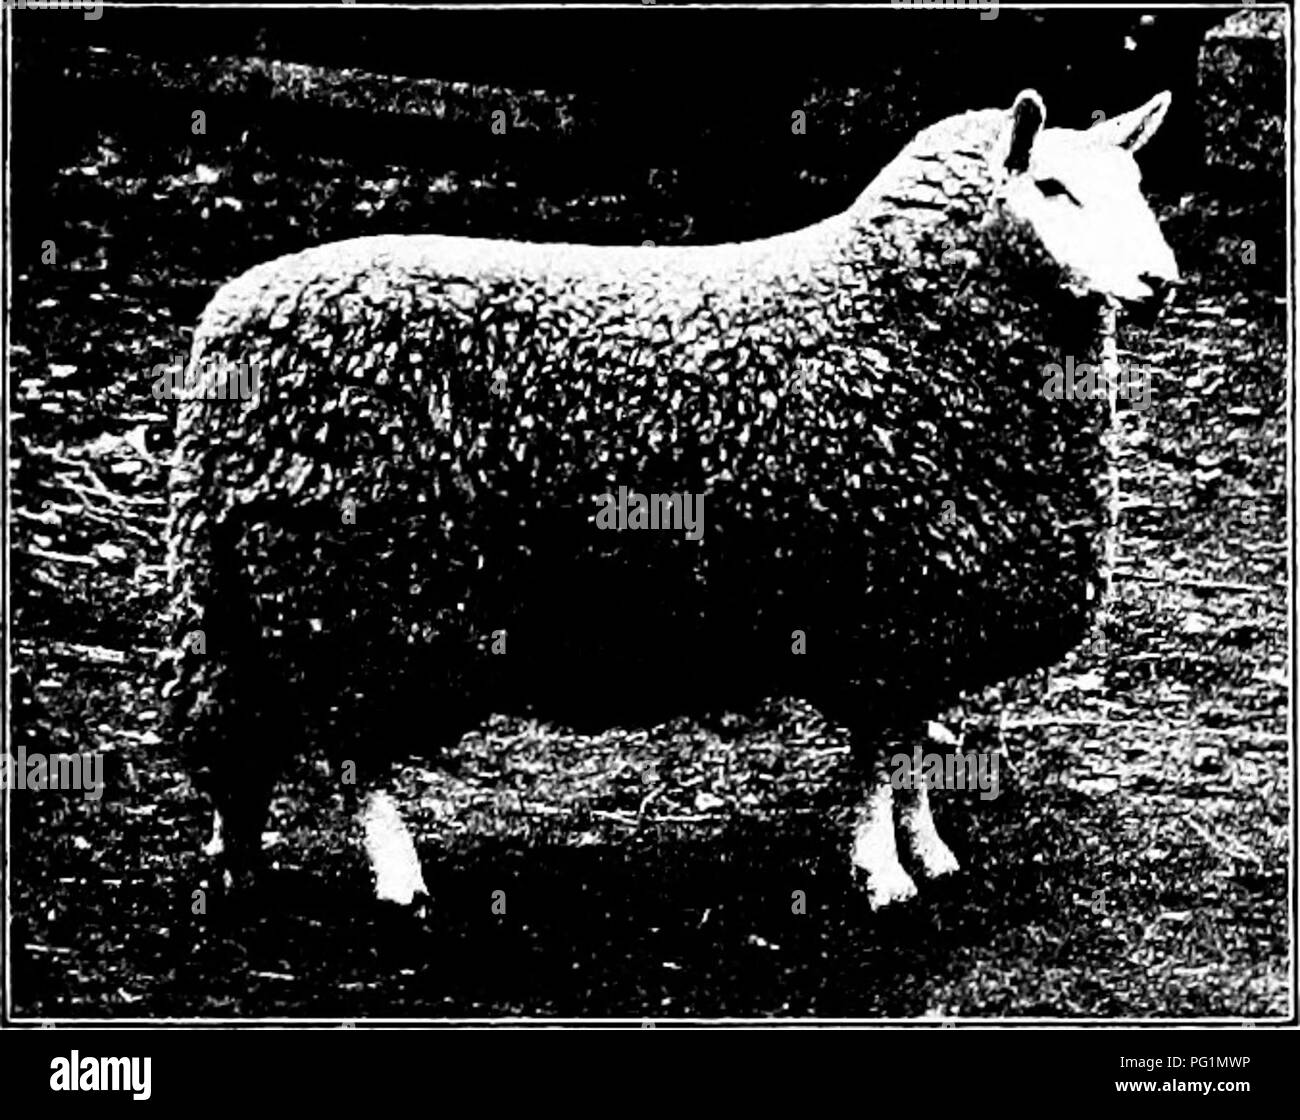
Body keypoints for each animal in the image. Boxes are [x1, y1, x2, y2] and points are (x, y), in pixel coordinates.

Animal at [163, 89, 1179, 912]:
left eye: (1137, 184)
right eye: (1052, 187)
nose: (1159, 284)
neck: (899, 314)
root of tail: (225, 320)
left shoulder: (917, 618)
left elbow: (908, 757)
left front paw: (928, 851)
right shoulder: (871, 607)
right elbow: (876, 763)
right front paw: (882, 875)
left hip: (245, 592)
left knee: (239, 736)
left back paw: (238, 858)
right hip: (357, 582)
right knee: (353, 749)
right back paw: (395, 875)